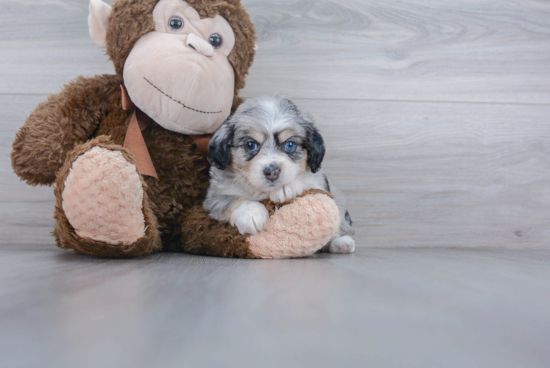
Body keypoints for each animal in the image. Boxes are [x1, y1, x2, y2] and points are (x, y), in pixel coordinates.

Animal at [205, 95, 356, 253]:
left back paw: (341, 243)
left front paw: (286, 188)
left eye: (290, 144)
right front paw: (251, 213)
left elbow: (307, 181)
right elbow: (229, 199)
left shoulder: (319, 183)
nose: (272, 172)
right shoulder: (213, 198)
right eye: (250, 145)